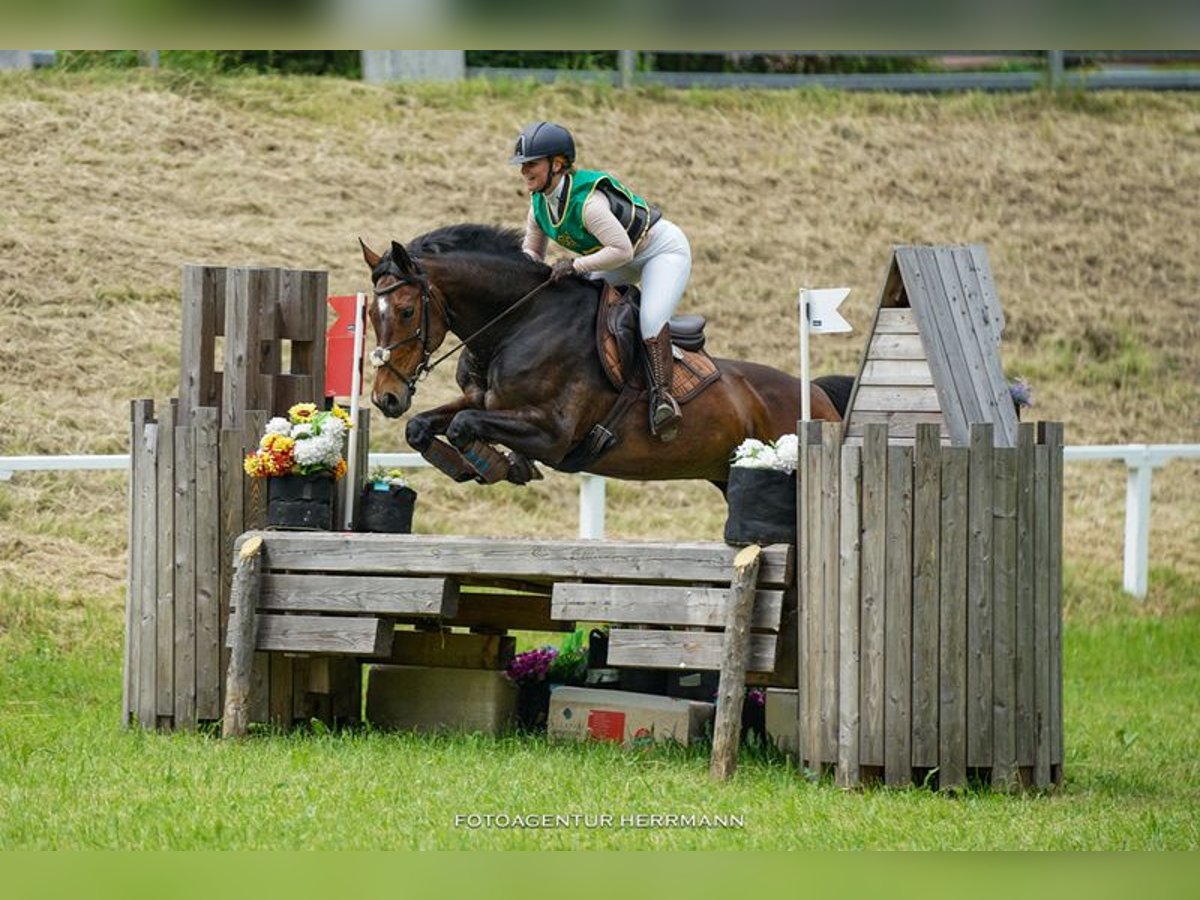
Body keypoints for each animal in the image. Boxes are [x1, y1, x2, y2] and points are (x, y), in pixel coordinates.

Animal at [360, 225, 849, 494]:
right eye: (368, 313)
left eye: (406, 311)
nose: (386, 397)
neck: (518, 322)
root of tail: (817, 394)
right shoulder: (484, 401)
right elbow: (422, 426)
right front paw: (491, 465)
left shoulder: (553, 433)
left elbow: (464, 426)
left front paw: (500, 464)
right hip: (729, 476)